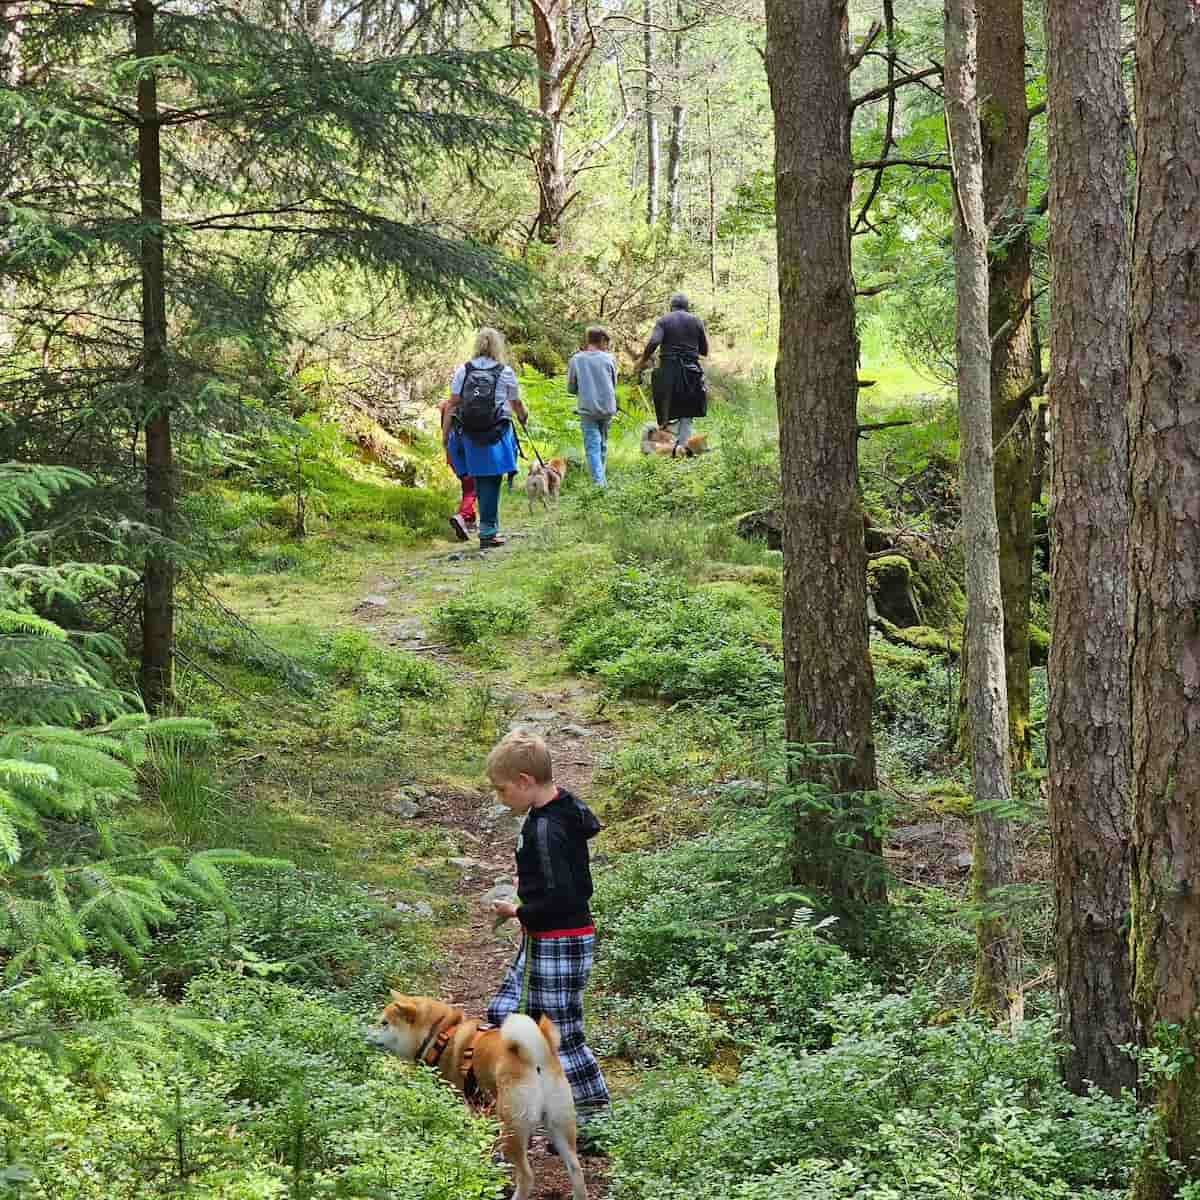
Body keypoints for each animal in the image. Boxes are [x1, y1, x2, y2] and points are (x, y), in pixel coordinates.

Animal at [367, 988, 588, 1200]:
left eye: (384, 1023)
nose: (365, 1034)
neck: (440, 1034)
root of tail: (537, 1056)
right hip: (559, 1126)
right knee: (576, 1171)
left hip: (512, 1130)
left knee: (526, 1177)